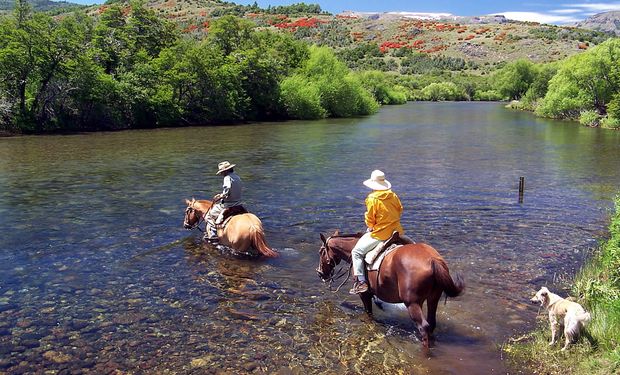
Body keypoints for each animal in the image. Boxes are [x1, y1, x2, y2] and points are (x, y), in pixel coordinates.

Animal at [318, 232, 462, 350]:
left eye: (321, 252)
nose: (320, 273)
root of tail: (432, 259)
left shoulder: (365, 294)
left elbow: (368, 313)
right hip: (433, 298)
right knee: (431, 323)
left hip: (412, 303)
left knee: (424, 326)